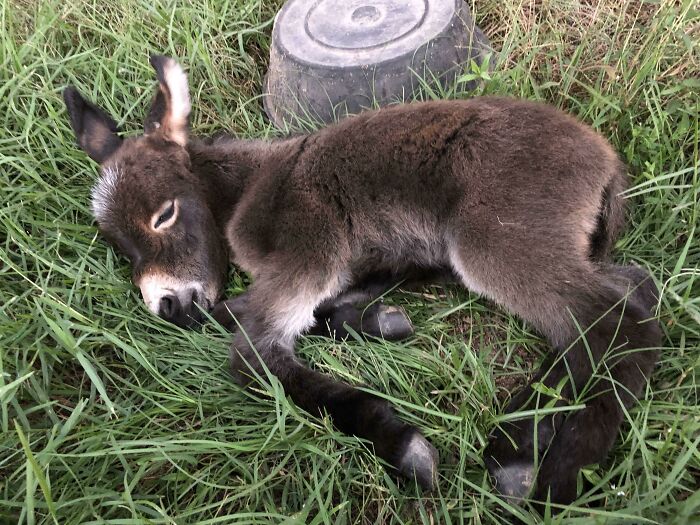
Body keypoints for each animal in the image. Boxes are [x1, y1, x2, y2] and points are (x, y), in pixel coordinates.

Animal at [63, 56, 660, 504]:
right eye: (115, 241)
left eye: (164, 214)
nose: (167, 306)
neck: (246, 186)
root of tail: (604, 160)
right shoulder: (373, 262)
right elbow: (316, 307)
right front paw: (378, 322)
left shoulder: (310, 251)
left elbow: (253, 351)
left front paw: (399, 443)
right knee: (625, 297)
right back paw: (524, 444)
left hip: (494, 243)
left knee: (615, 326)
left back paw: (551, 470)